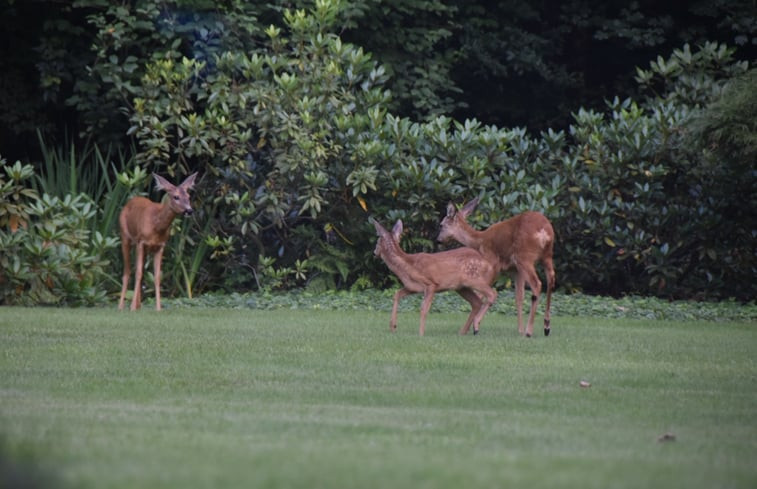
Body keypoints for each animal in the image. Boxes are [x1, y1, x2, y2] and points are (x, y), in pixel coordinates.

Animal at [116, 172, 196, 308]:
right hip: (125, 237)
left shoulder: (160, 245)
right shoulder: (141, 241)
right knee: (127, 271)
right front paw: (131, 308)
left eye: (188, 196)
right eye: (176, 197)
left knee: (140, 271)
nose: (189, 210)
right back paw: (121, 306)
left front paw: (158, 308)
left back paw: (138, 306)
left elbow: (157, 277)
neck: (156, 225)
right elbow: (138, 273)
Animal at [370, 217, 500, 336]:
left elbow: (423, 309)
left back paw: (475, 326)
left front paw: (421, 334)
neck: (407, 265)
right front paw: (393, 326)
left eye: (377, 242)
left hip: (473, 279)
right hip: (461, 287)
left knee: (492, 293)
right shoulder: (412, 287)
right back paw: (463, 332)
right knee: (477, 302)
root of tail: (490, 266)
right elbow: (396, 294)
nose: (374, 252)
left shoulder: (430, 284)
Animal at [438, 197, 556, 336]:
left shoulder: (493, 264)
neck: (479, 241)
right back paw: (546, 327)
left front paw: (469, 328)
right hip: (546, 256)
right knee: (551, 280)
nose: (438, 240)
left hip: (525, 257)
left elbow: (482, 294)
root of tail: (544, 231)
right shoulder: (515, 270)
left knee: (537, 284)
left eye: (441, 225)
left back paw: (529, 331)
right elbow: (519, 297)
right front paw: (519, 330)